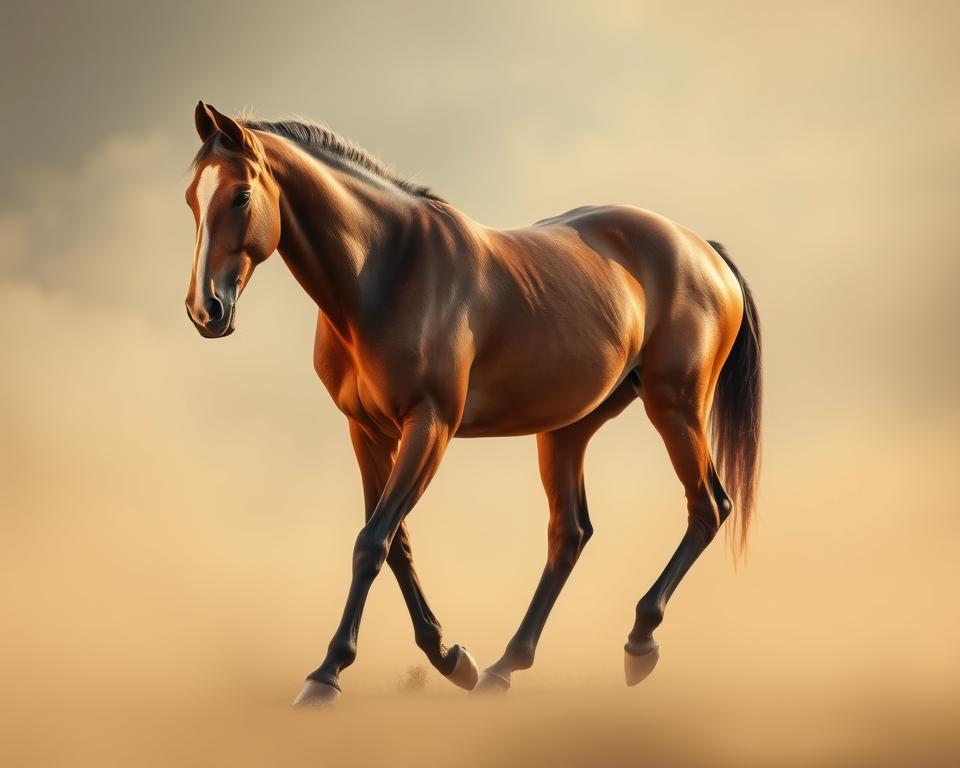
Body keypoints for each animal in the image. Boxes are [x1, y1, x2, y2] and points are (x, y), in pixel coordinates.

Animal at [184, 102, 762, 705]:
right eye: (192, 199)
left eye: (240, 197)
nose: (206, 310)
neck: (386, 271)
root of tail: (704, 252)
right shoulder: (366, 431)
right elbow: (396, 544)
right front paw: (450, 658)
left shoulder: (430, 425)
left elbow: (372, 542)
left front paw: (326, 673)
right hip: (568, 428)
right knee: (570, 533)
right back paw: (505, 665)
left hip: (675, 407)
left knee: (708, 507)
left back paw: (639, 641)